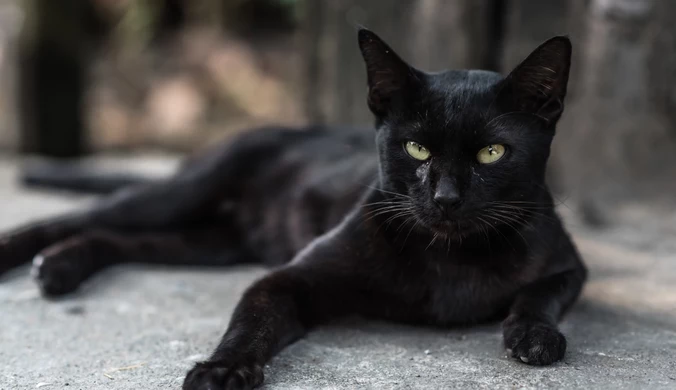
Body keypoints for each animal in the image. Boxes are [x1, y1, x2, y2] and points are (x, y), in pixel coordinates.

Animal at [0, 29, 588, 388]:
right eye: (416, 148)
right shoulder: (292, 278)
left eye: (492, 153)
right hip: (178, 198)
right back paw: (31, 257)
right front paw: (222, 369)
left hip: (206, 242)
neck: (453, 258)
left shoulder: (568, 265)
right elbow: (252, 322)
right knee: (77, 219)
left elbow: (539, 294)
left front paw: (535, 335)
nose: (445, 198)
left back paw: (60, 268)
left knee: (115, 240)